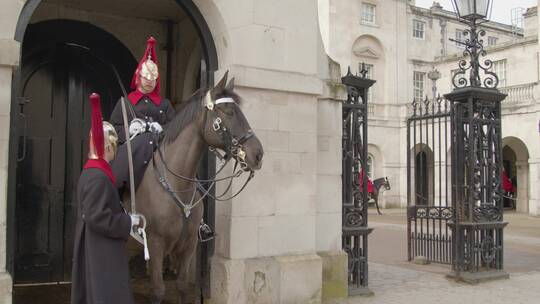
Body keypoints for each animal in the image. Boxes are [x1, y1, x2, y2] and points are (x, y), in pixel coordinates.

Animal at [125, 72, 264, 302]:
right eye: (229, 111)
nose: (258, 154)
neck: (178, 184)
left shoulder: (189, 244)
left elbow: (182, 285)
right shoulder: (155, 243)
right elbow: (158, 290)